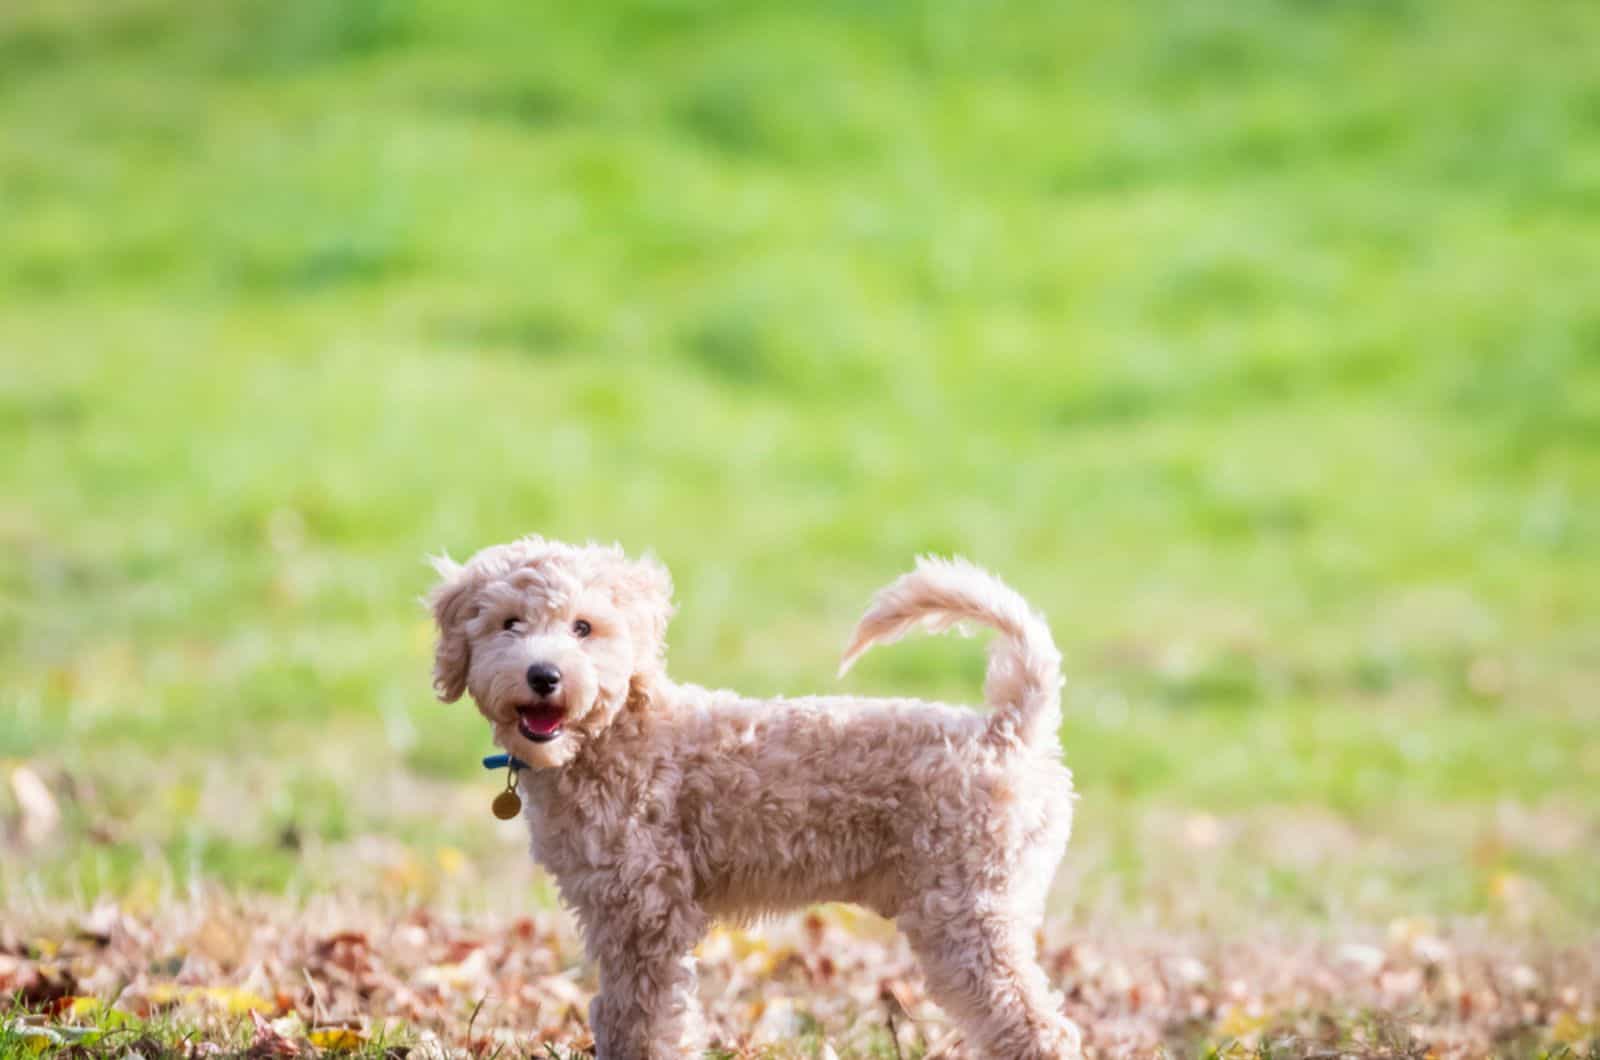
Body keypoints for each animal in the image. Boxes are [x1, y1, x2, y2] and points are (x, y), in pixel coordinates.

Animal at [425, 541, 1081, 1060]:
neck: (613, 735)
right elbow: (620, 1015)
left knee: (1041, 1029)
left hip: (967, 914)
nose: (544, 676)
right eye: (509, 623)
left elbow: (645, 1022)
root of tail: (1009, 728)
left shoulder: (648, 913)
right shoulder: (617, 914)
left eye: (583, 627)